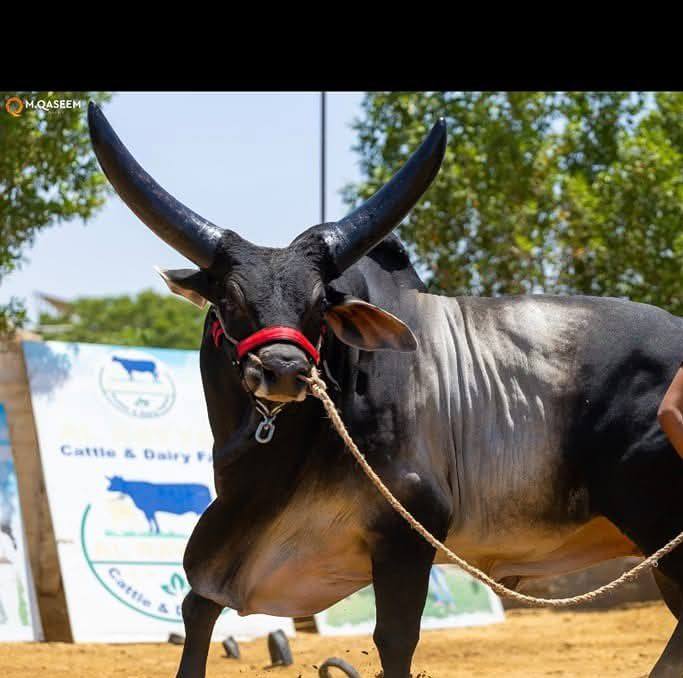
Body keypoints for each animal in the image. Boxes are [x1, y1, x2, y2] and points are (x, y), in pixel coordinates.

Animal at [88, 103, 683, 678]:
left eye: (318, 303)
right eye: (230, 299)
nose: (284, 368)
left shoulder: (408, 533)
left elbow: (394, 641)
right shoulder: (231, 545)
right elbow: (198, 608)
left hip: (659, 531)